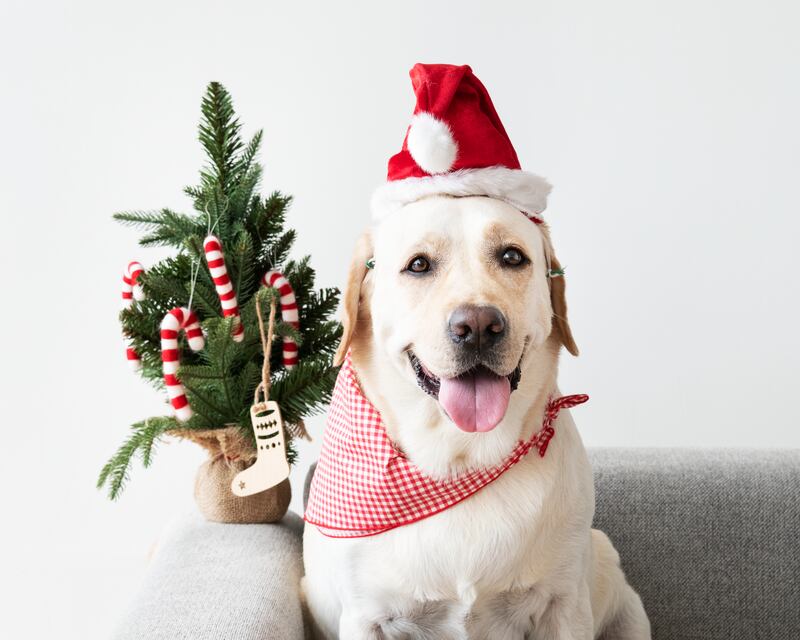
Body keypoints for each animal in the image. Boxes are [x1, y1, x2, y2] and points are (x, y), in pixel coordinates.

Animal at [304, 195, 652, 640]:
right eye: (419, 264)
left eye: (512, 257)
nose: (479, 326)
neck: (462, 461)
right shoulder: (367, 617)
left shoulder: (563, 605)